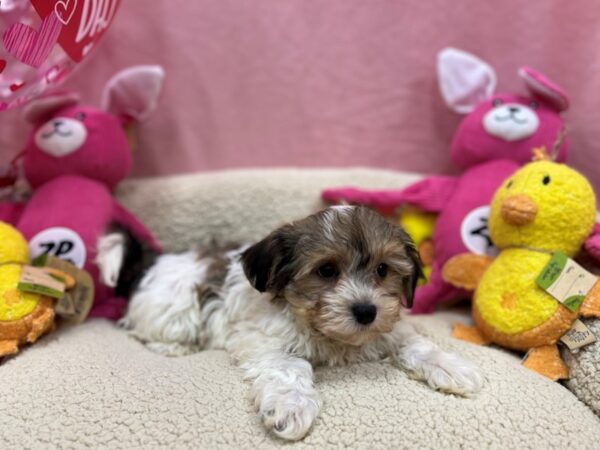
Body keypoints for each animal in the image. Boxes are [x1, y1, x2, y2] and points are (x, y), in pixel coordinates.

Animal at [98, 206, 482, 442]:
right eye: (326, 270)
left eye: (383, 270)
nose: (365, 311)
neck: (333, 335)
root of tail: (157, 262)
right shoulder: (264, 340)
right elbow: (290, 367)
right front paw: (291, 406)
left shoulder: (389, 327)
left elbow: (414, 342)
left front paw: (452, 367)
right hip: (175, 309)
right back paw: (173, 347)